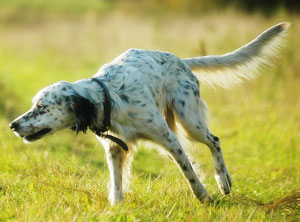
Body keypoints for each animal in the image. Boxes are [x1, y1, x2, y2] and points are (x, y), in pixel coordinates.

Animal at [9, 22, 288, 205]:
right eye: (34, 105)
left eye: (41, 107)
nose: (13, 125)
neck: (109, 98)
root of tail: (181, 61)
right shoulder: (115, 148)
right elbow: (117, 182)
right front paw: (116, 207)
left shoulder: (167, 138)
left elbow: (188, 175)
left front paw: (204, 198)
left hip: (189, 122)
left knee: (214, 141)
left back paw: (223, 180)